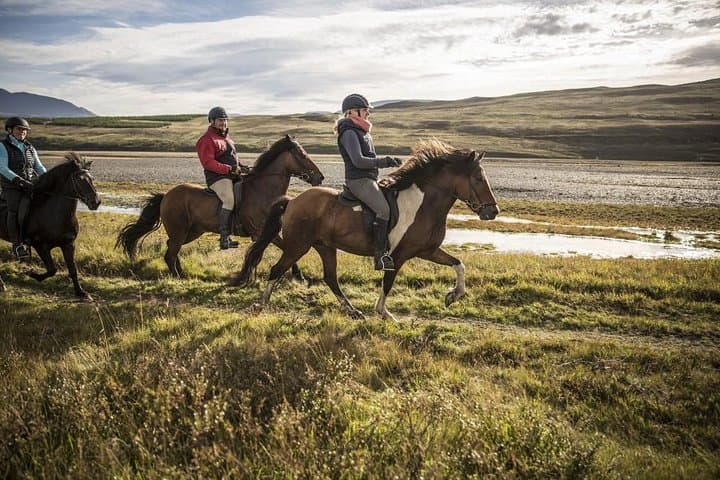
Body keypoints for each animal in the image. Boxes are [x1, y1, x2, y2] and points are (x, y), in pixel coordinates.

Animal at [0, 152, 101, 299]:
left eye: (92, 179)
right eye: (80, 179)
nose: (96, 202)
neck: (53, 213)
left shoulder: (68, 244)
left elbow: (73, 269)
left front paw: (80, 292)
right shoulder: (40, 245)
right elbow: (53, 269)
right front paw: (32, 274)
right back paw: (2, 285)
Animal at [116, 135, 324, 277]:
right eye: (302, 155)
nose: (320, 177)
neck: (262, 190)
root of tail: (166, 195)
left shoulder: (267, 232)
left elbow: (286, 248)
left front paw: (297, 275)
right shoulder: (260, 232)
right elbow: (283, 248)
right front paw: (297, 275)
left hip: (192, 231)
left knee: (171, 249)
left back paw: (181, 272)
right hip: (180, 231)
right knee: (171, 253)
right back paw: (177, 277)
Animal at [231, 139, 499, 321]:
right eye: (478, 179)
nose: (493, 211)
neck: (424, 204)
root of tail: (293, 201)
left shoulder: (428, 250)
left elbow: (459, 265)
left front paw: (453, 295)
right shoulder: (398, 255)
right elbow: (388, 282)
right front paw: (384, 313)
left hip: (324, 246)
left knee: (330, 278)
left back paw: (352, 310)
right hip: (298, 245)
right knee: (277, 270)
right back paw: (261, 303)